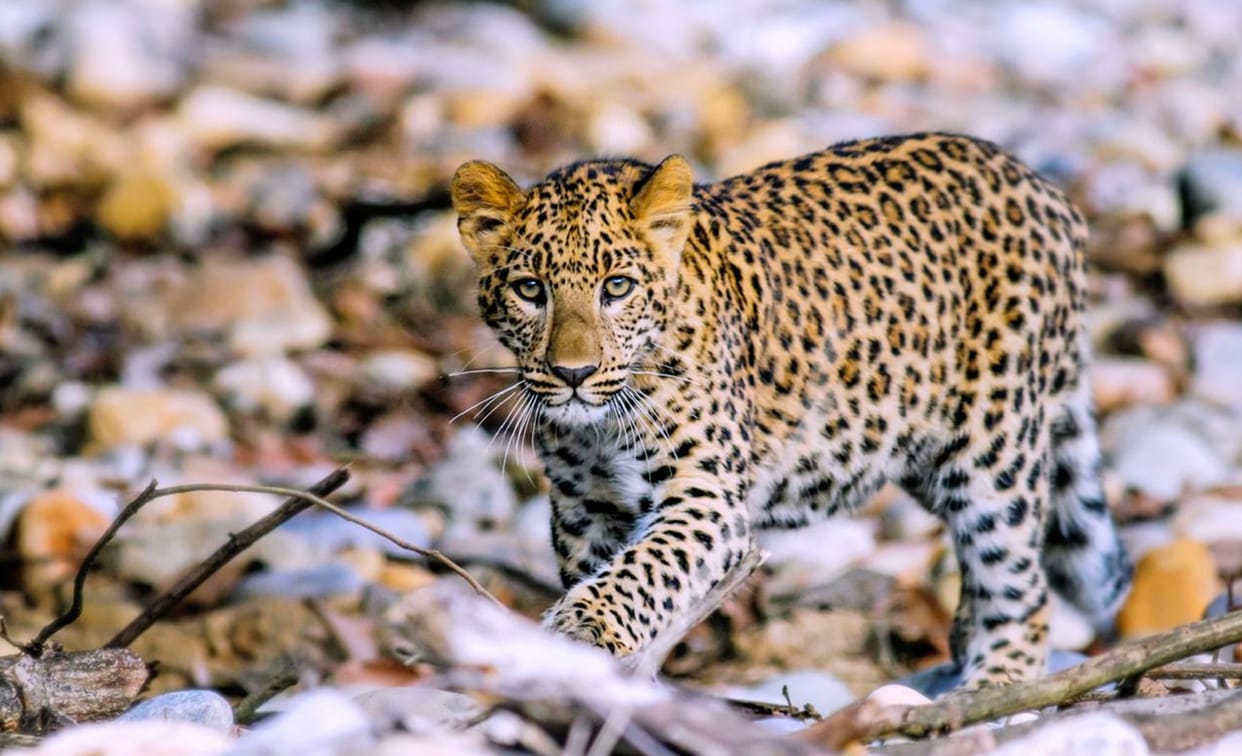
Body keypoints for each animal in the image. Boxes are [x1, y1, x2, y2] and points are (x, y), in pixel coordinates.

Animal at [449, 132, 1132, 689]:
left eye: (616, 287)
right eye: (530, 290)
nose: (574, 374)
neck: (600, 428)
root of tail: (1042, 189)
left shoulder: (704, 499)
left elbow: (641, 572)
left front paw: (578, 628)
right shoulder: (585, 511)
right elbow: (621, 581)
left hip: (994, 452)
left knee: (1021, 585)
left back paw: (995, 688)